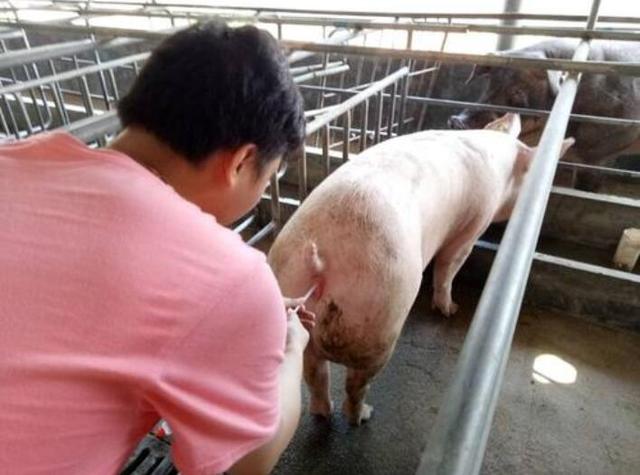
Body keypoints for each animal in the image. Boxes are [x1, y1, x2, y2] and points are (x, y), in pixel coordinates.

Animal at [268, 114, 572, 428]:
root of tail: (320, 258)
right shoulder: (474, 222)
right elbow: (450, 264)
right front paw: (451, 309)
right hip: (381, 318)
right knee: (355, 386)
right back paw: (364, 415)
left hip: (297, 310)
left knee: (315, 376)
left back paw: (322, 413)